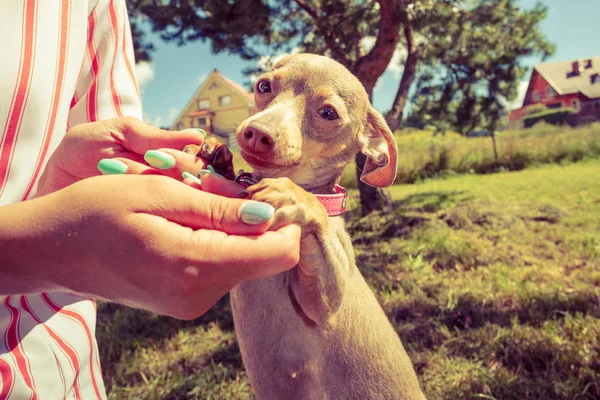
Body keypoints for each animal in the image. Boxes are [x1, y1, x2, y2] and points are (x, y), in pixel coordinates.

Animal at [185, 54, 424, 400]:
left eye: (328, 113)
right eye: (263, 86)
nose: (257, 133)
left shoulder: (326, 308)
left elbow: (316, 218)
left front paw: (295, 197)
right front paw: (216, 154)